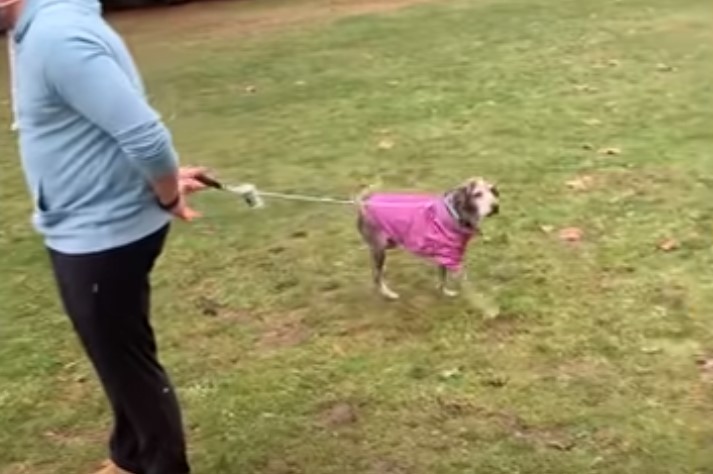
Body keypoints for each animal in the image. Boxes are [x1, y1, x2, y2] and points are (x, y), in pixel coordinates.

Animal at [358, 178, 498, 300]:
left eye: (492, 191)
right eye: (477, 194)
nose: (496, 207)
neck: (455, 213)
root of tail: (364, 202)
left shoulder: (444, 254)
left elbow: (442, 277)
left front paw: (444, 291)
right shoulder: (451, 257)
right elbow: (465, 282)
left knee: (376, 272)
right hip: (379, 249)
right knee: (377, 275)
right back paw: (388, 294)